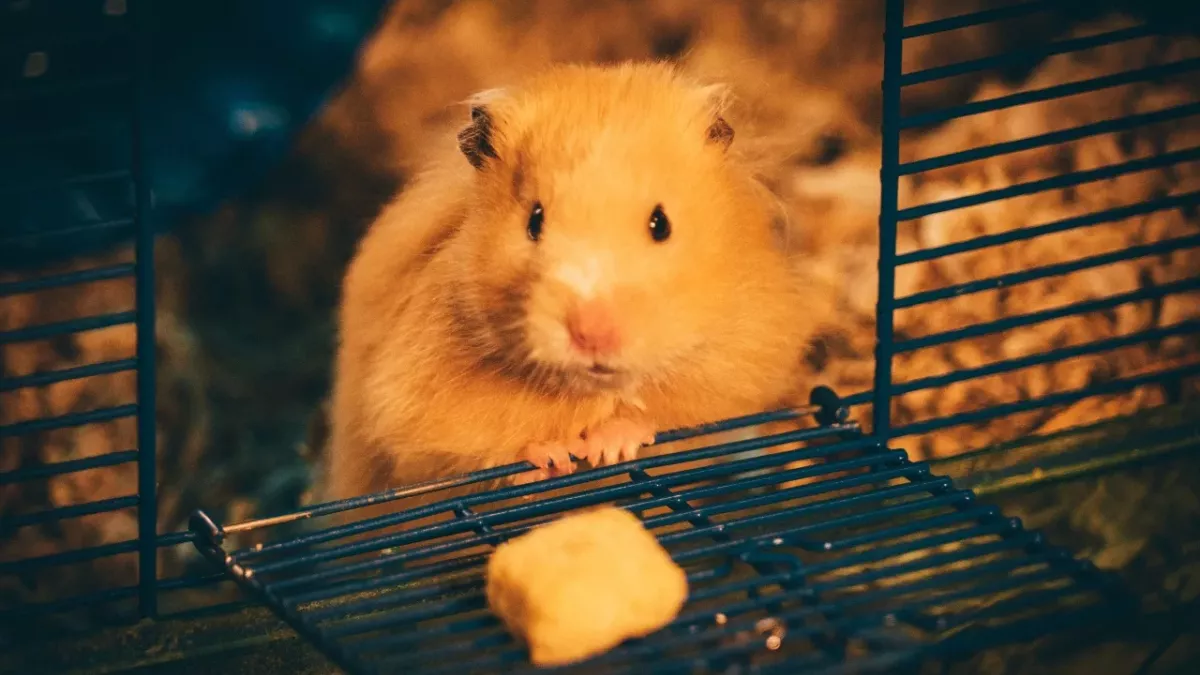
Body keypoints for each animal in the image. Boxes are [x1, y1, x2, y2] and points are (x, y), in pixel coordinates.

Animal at [322, 61, 817, 515]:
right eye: (534, 221)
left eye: (661, 223)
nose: (593, 334)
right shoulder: (410, 403)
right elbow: (473, 445)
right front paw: (556, 455)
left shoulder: (743, 360)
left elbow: (666, 410)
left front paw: (607, 447)